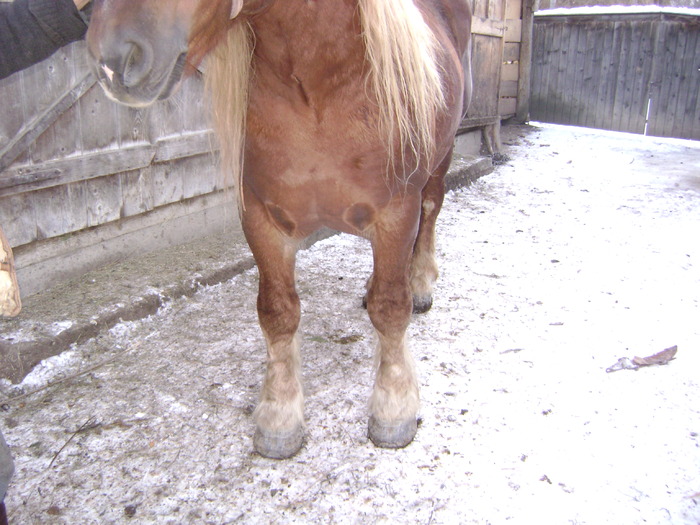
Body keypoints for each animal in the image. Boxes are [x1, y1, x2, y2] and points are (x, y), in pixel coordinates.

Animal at [86, 0, 470, 458]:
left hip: (439, 161)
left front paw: (394, 409)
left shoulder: (397, 212)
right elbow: (278, 314)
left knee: (430, 213)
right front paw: (280, 417)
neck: (319, 87)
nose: (113, 60)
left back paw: (421, 284)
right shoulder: (262, 218)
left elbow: (391, 308)